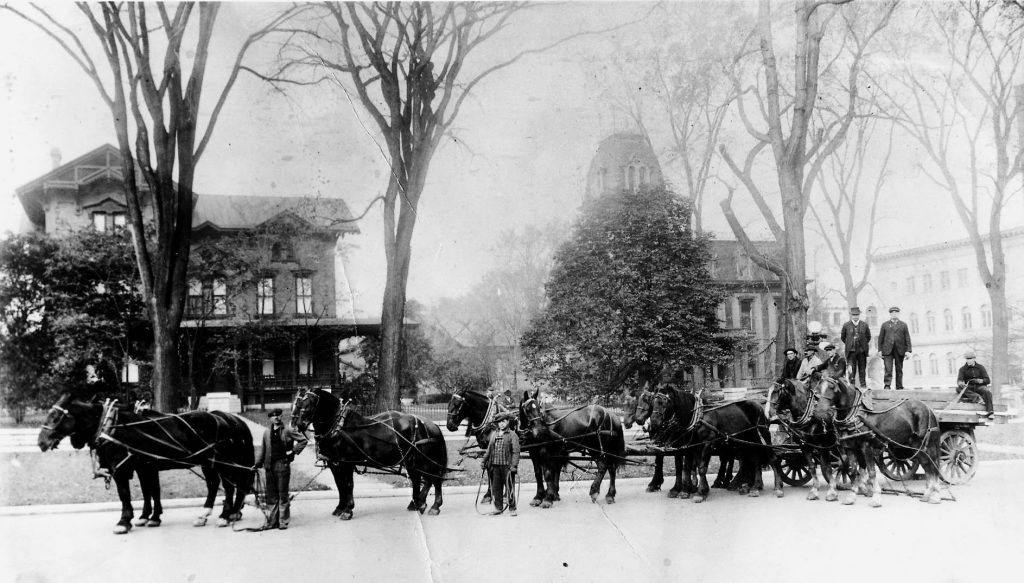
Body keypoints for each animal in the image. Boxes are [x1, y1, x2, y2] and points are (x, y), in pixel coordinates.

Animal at [39, 391, 256, 532]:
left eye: (56, 416)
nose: (41, 441)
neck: (112, 427)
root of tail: (225, 418)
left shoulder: (123, 470)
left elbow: (126, 494)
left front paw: (125, 521)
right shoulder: (145, 467)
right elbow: (149, 491)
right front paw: (149, 517)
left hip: (221, 462)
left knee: (229, 486)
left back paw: (225, 516)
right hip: (208, 463)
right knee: (215, 485)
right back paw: (209, 515)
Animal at [290, 387, 446, 518]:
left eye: (310, 403)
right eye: (297, 404)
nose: (299, 424)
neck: (338, 426)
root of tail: (431, 425)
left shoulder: (346, 463)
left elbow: (348, 485)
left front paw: (348, 510)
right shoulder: (335, 464)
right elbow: (340, 485)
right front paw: (340, 507)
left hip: (425, 459)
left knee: (434, 478)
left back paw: (434, 506)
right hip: (411, 460)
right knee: (419, 479)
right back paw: (416, 504)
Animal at [647, 387, 782, 500]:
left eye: (664, 402)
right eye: (653, 402)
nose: (653, 423)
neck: (698, 417)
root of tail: (757, 403)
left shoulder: (707, 444)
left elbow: (701, 467)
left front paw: (700, 492)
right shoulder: (693, 447)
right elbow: (692, 466)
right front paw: (695, 490)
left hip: (762, 433)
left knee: (772, 457)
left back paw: (778, 486)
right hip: (746, 438)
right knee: (755, 459)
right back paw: (754, 487)